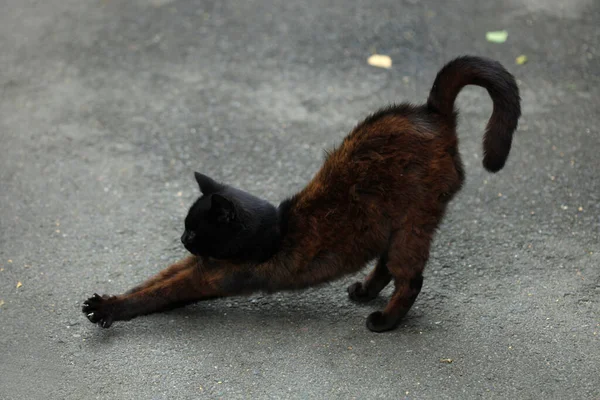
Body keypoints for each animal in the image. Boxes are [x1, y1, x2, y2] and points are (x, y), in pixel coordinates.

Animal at [83, 55, 520, 332]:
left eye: (194, 229)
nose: (182, 239)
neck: (271, 232)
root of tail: (432, 113)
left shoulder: (208, 276)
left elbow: (156, 295)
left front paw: (106, 309)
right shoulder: (195, 264)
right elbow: (149, 283)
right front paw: (110, 296)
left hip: (413, 224)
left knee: (411, 280)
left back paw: (384, 322)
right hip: (393, 224)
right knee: (386, 265)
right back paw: (364, 292)